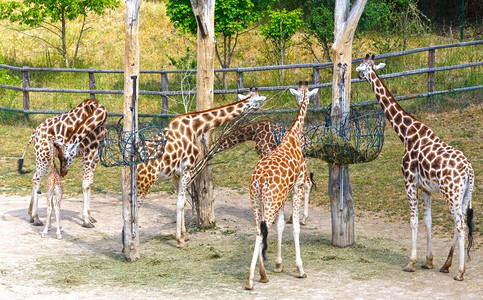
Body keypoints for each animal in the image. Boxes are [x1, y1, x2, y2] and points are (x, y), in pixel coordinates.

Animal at [18, 98, 107, 227]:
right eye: (61, 157)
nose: (63, 172)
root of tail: (34, 133)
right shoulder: (89, 151)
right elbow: (86, 184)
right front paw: (86, 220)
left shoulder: (96, 154)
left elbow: (90, 183)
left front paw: (90, 217)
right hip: (44, 155)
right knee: (37, 179)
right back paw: (36, 218)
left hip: (41, 156)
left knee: (35, 177)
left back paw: (31, 216)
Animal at [134, 88, 266, 247]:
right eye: (257, 100)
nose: (257, 108)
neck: (195, 127)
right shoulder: (187, 169)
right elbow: (180, 203)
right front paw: (179, 239)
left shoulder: (176, 174)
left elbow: (182, 202)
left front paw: (184, 234)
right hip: (146, 180)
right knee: (135, 207)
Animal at [244, 82, 320, 290]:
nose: (302, 101)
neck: (293, 136)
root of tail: (260, 179)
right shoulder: (297, 187)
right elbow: (295, 226)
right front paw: (300, 269)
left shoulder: (284, 193)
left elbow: (279, 226)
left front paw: (278, 265)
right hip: (271, 199)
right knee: (262, 231)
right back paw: (251, 280)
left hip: (257, 200)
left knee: (258, 229)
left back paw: (261, 275)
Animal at [356, 54, 476, 282]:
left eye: (362, 67)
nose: (356, 75)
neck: (406, 134)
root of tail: (469, 171)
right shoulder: (426, 188)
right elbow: (428, 220)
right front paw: (428, 261)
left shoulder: (409, 181)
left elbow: (413, 221)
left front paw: (410, 263)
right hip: (465, 195)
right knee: (460, 224)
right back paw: (446, 265)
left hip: (451, 193)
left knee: (459, 225)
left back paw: (460, 272)